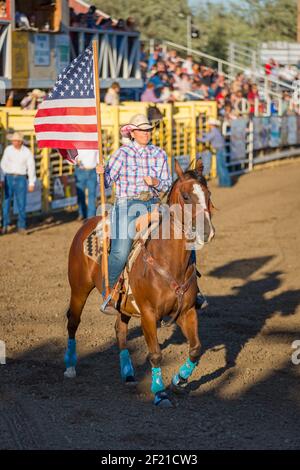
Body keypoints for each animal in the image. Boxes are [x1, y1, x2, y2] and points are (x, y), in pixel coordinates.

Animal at [63, 160, 213, 406]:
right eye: (186, 196)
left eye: (208, 194)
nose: (207, 231)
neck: (168, 260)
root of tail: (87, 224)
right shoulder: (149, 314)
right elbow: (155, 354)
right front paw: (160, 392)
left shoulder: (188, 311)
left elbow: (195, 349)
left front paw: (179, 380)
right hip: (78, 289)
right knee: (73, 322)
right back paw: (70, 366)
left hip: (123, 303)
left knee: (120, 330)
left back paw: (129, 374)